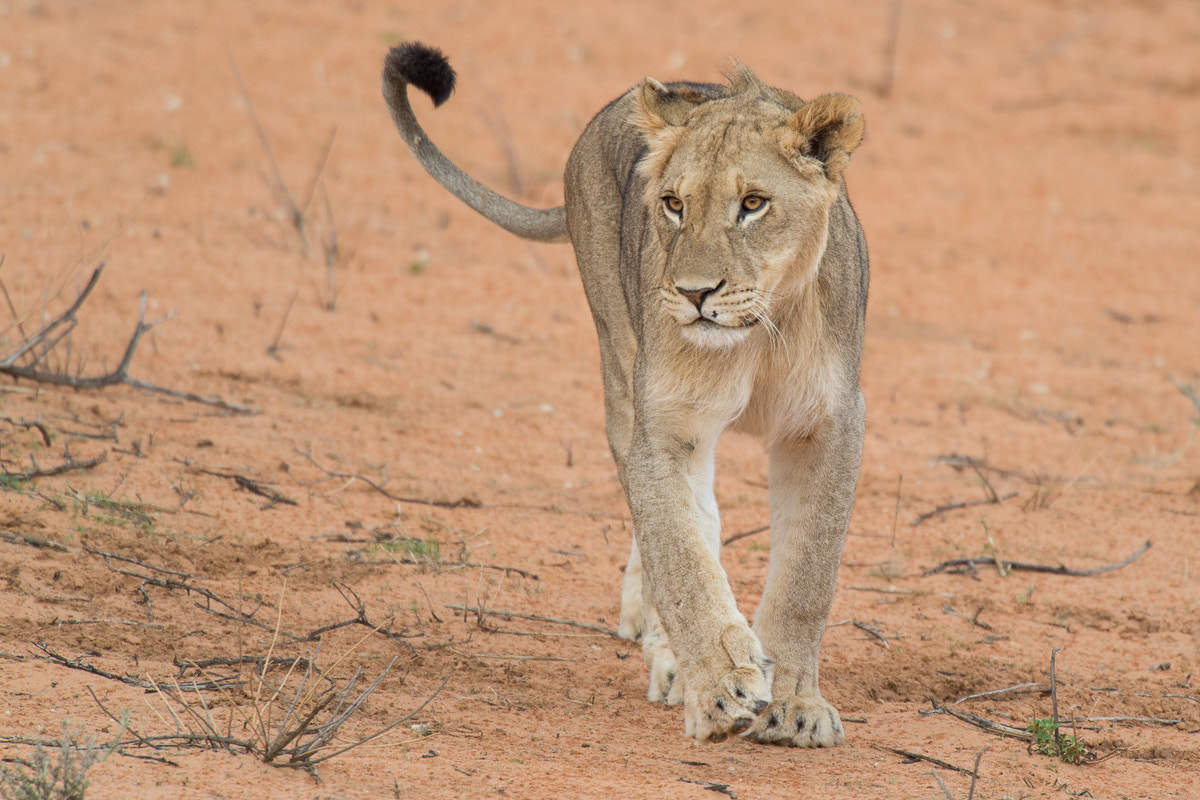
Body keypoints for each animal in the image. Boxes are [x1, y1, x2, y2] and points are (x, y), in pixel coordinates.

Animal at [384, 42, 864, 743]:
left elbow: (809, 573)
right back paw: (674, 663)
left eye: (753, 204)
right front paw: (721, 689)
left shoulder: (828, 425)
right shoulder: (666, 425)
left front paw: (794, 706)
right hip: (619, 361)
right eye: (672, 204)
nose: (694, 293)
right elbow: (683, 557)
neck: (759, 333)